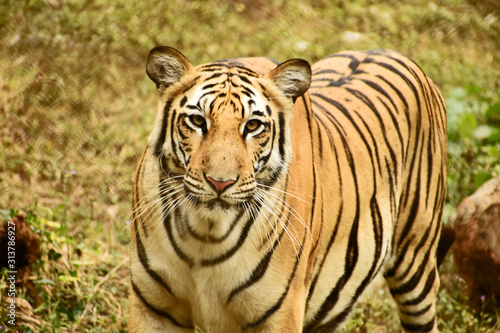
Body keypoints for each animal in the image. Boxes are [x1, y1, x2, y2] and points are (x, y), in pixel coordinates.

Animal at [129, 44, 446, 332]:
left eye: (253, 126)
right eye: (197, 121)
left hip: (416, 262)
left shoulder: (279, 316)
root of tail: (395, 53)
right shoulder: (152, 309)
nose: (221, 182)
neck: (204, 235)